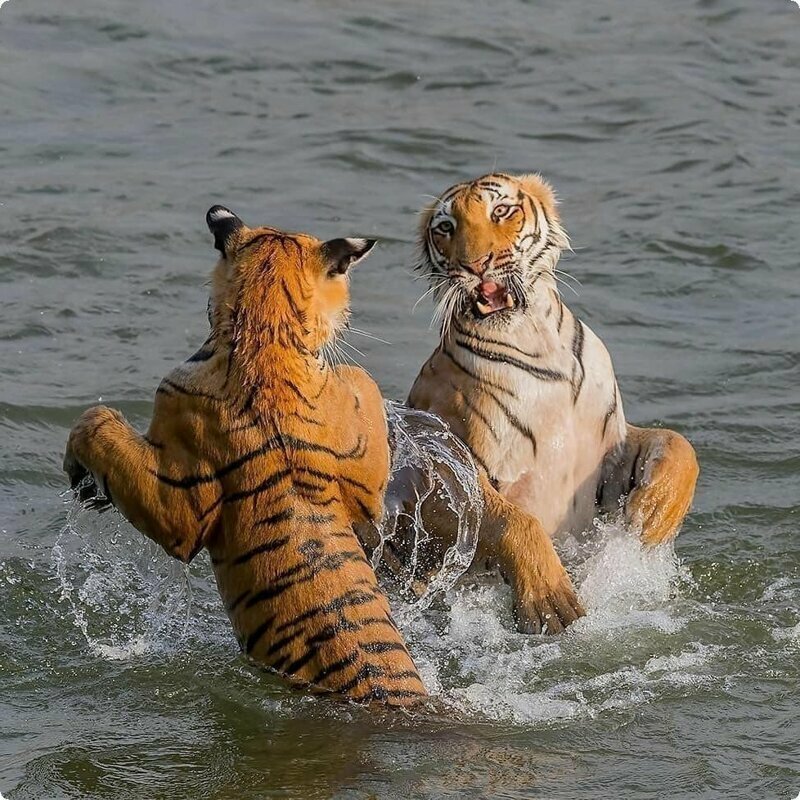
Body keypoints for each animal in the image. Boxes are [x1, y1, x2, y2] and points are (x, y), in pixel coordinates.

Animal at [63, 206, 428, 708]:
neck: (267, 331)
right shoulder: (365, 486)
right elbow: (362, 385)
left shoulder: (181, 509)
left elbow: (96, 420)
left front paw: (79, 471)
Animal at [406, 172, 699, 633]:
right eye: (445, 228)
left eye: (501, 211)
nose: (475, 265)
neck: (536, 339)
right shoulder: (446, 467)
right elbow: (512, 520)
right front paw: (550, 600)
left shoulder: (610, 453)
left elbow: (678, 445)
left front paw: (654, 516)